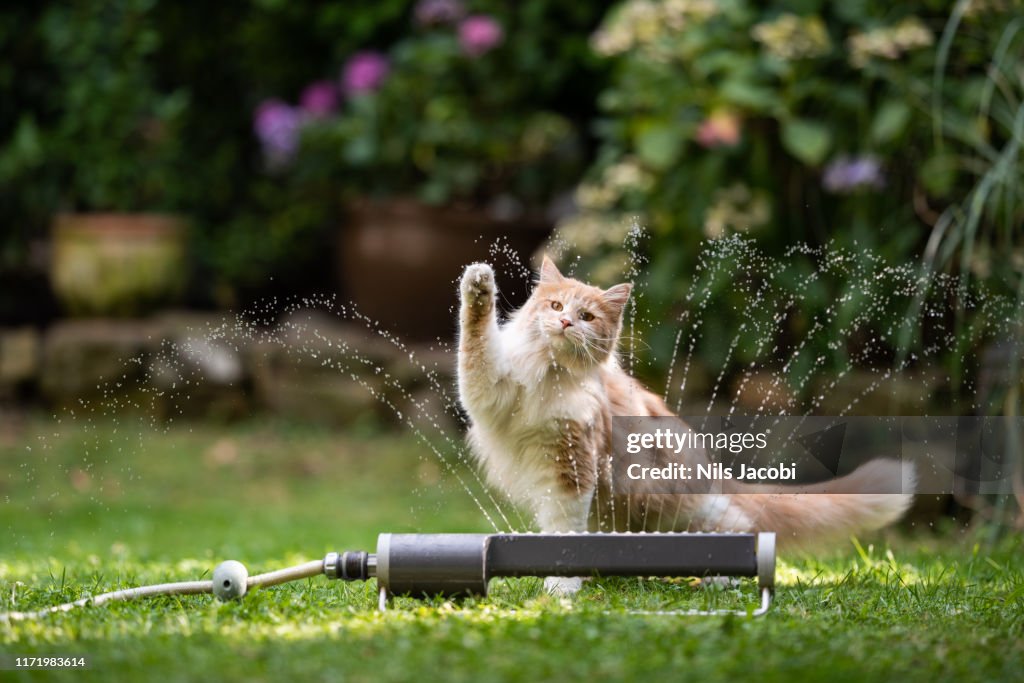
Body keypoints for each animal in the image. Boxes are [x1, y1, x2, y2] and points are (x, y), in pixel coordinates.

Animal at [456, 255, 913, 593]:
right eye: (554, 307)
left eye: (585, 316)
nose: (566, 323)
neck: (548, 374)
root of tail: (712, 469)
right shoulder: (489, 391)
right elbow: (474, 342)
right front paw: (478, 286)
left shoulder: (573, 466)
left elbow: (564, 531)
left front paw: (561, 587)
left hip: (674, 506)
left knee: (738, 526)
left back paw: (724, 578)